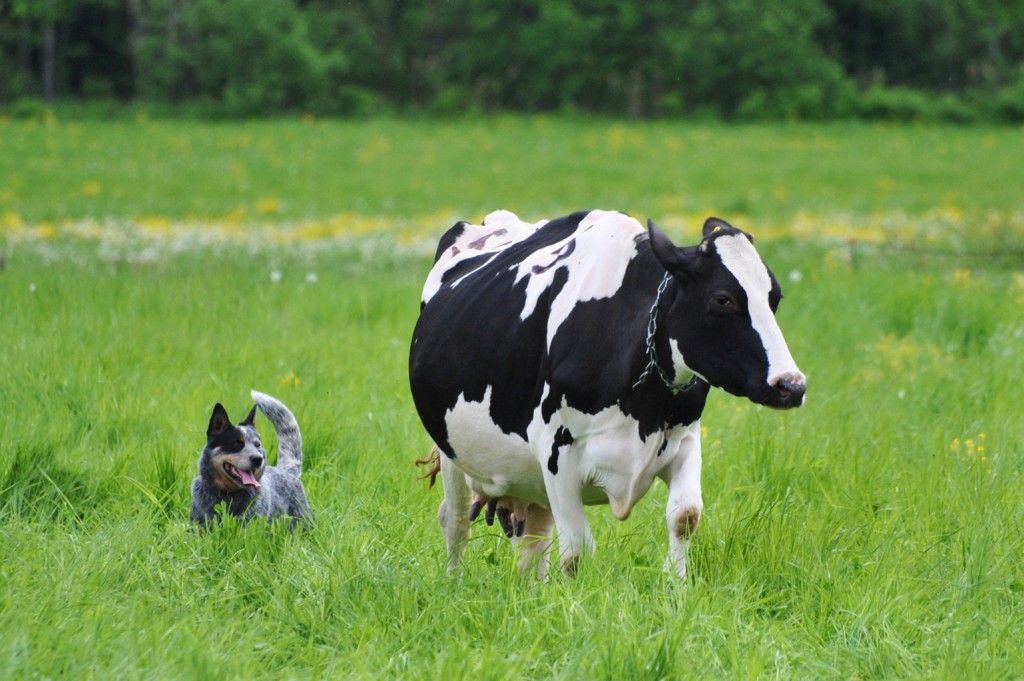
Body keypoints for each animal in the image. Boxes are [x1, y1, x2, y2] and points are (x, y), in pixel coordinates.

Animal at [407, 208, 806, 577]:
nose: (791, 385)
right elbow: (577, 551)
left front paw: (677, 589)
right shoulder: (556, 453)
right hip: (452, 450)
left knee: (532, 539)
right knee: (456, 521)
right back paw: (455, 584)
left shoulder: (686, 440)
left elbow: (685, 517)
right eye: (723, 299)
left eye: (775, 298)